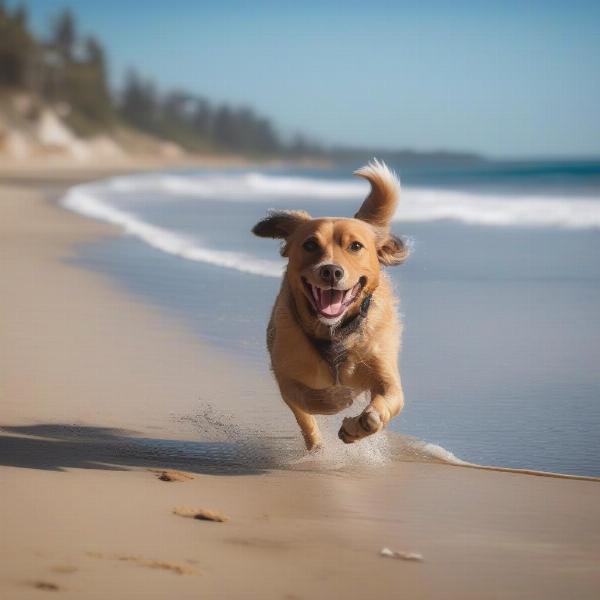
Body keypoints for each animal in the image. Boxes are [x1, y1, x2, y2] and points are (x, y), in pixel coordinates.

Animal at [253, 159, 408, 450]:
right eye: (310, 244)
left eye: (356, 246)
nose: (331, 271)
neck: (334, 333)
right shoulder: (285, 375)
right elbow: (309, 400)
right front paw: (336, 401)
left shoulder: (384, 371)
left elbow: (387, 401)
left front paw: (360, 425)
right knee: (307, 421)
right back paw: (316, 446)